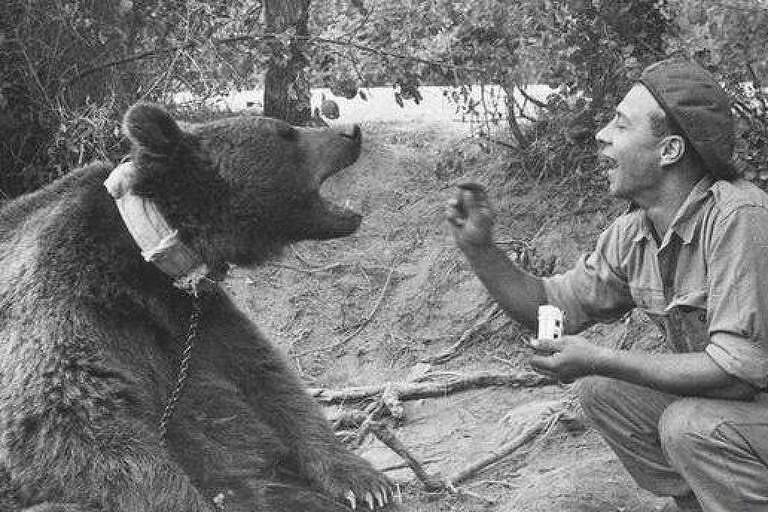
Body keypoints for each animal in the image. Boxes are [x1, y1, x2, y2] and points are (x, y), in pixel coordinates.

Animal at [0, 102, 392, 510]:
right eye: (286, 133)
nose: (352, 132)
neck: (151, 260)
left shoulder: (200, 315)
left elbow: (268, 380)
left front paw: (364, 481)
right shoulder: (71, 300)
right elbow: (71, 416)